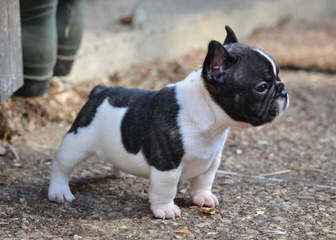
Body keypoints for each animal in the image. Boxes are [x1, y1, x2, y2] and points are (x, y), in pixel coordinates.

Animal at [48, 26, 288, 219]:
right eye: (262, 87)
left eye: (278, 77)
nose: (283, 90)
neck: (208, 114)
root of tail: (100, 91)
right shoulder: (167, 165)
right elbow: (166, 189)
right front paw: (165, 209)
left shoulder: (211, 160)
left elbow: (204, 181)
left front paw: (203, 198)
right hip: (78, 142)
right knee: (61, 165)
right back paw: (59, 191)